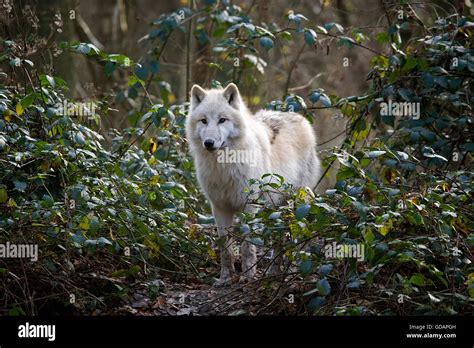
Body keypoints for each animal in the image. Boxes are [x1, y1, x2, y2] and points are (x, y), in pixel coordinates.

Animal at [185, 83, 322, 284]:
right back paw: (274, 271)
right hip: (275, 209)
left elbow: (247, 247)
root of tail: (298, 117)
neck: (224, 166)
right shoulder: (219, 208)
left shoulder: (248, 206)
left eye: (222, 120)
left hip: (296, 203)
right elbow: (225, 249)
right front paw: (225, 279)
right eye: (203, 121)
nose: (208, 143)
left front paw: (248, 277)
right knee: (278, 239)